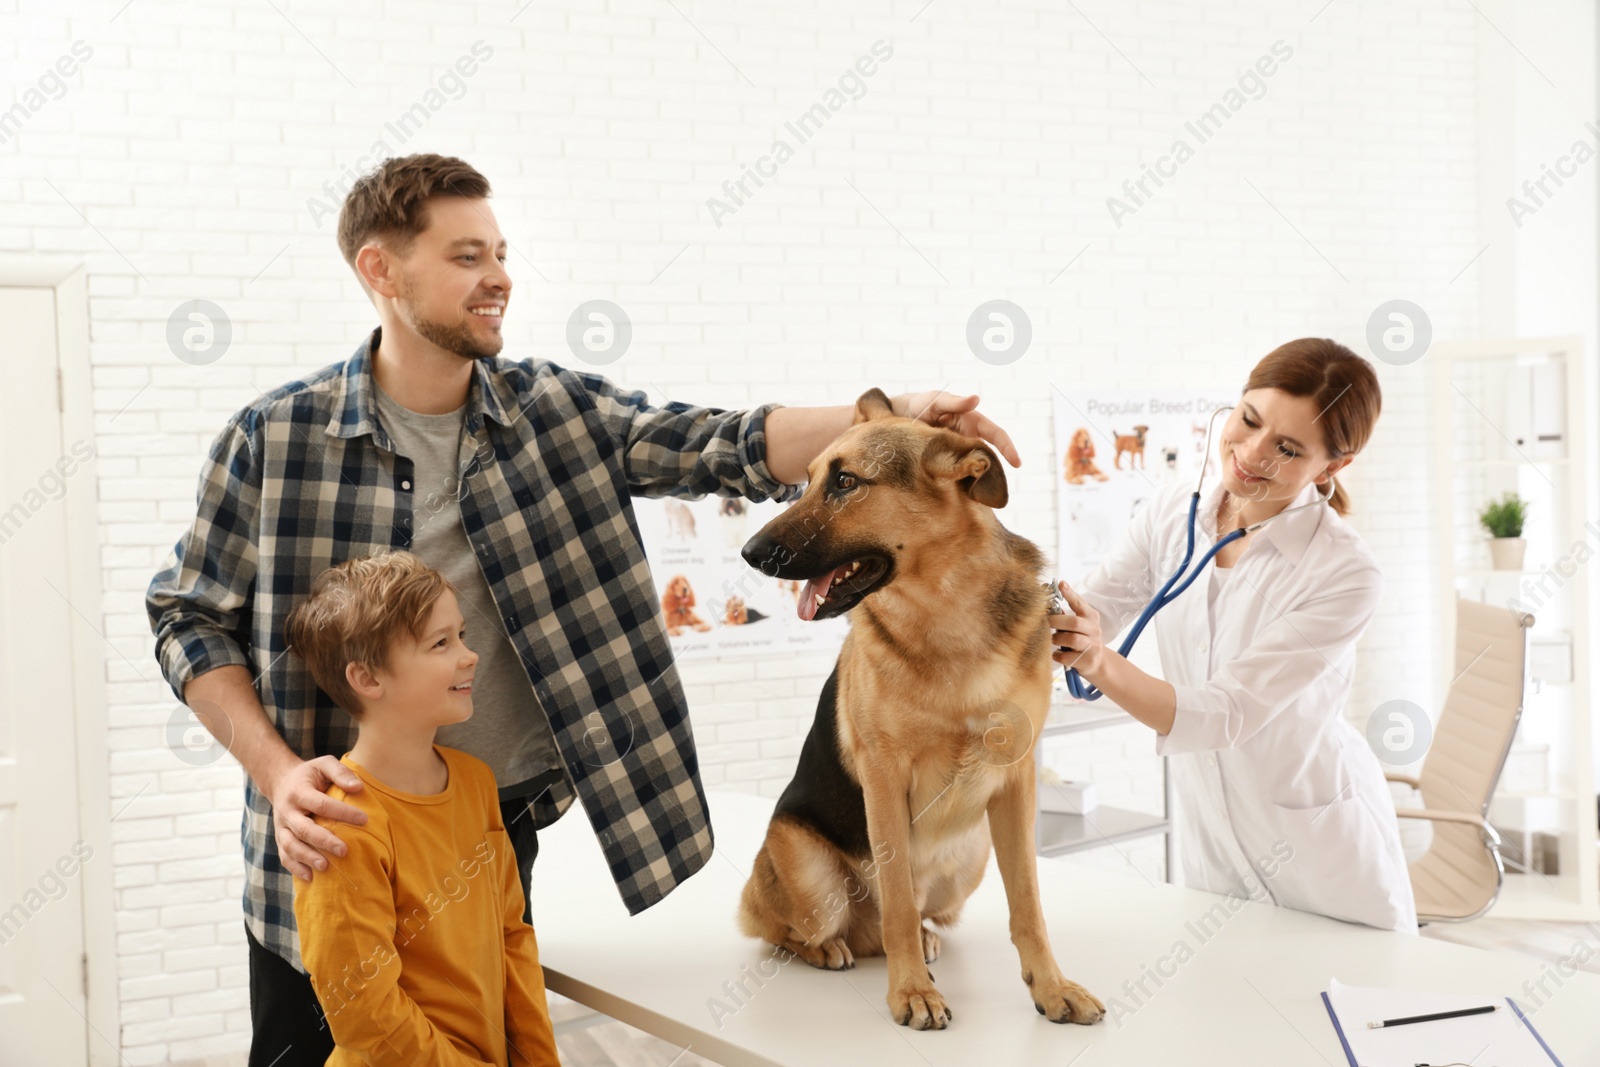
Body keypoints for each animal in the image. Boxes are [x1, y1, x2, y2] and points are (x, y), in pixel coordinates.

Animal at [732, 388, 1100, 1030]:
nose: (750, 554)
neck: (945, 610)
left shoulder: (1016, 783)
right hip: (809, 874)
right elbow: (899, 902)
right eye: (806, 480)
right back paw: (831, 948)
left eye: (846, 482)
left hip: (971, 859)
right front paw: (911, 992)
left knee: (907, 917)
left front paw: (1051, 987)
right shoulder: (884, 777)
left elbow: (1027, 902)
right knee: (790, 929)